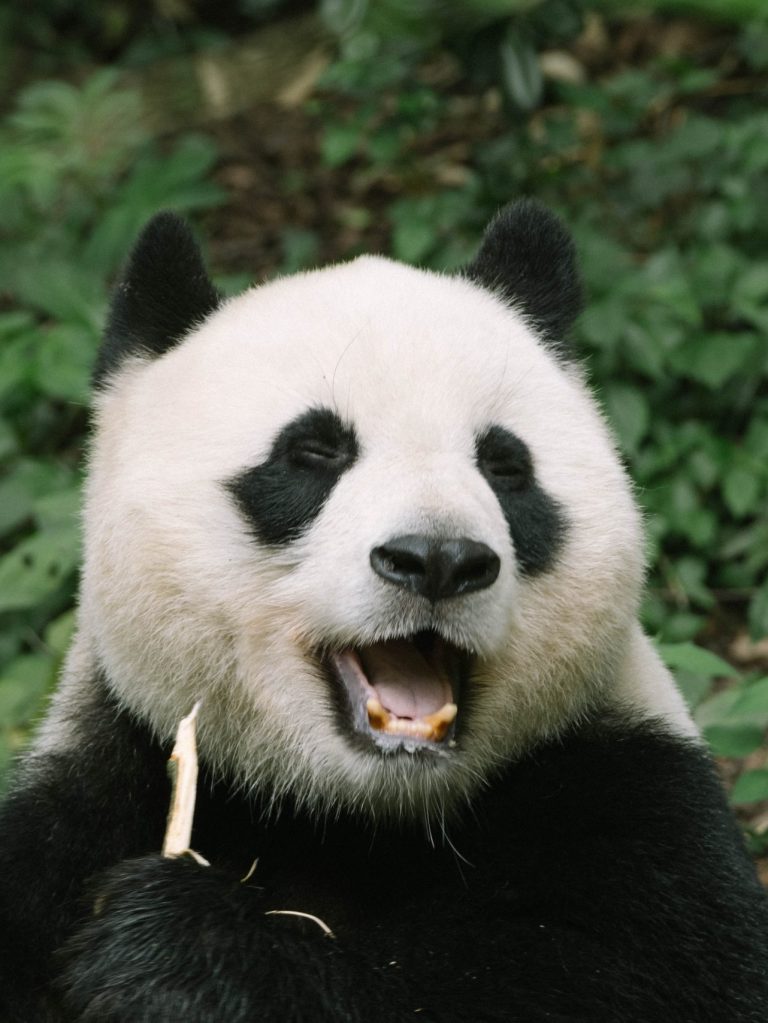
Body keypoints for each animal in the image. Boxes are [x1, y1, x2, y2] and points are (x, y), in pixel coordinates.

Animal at [1, 200, 767, 1022]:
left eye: (504, 465)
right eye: (313, 452)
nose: (438, 559)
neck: (363, 815)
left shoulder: (637, 802)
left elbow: (592, 975)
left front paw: (174, 949)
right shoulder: (90, 791)